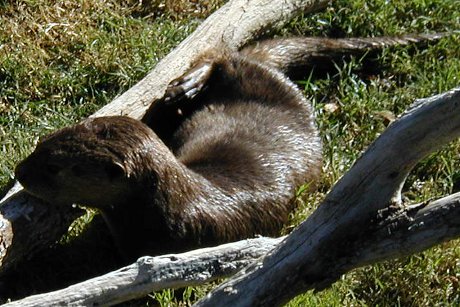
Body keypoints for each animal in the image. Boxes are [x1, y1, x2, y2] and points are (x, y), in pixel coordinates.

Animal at [14, 33, 442, 260]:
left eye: (53, 166)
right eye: (42, 142)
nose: (19, 171)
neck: (177, 207)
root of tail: (271, 73)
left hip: (259, 79)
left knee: (225, 56)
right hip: (244, 72)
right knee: (221, 55)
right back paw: (183, 87)